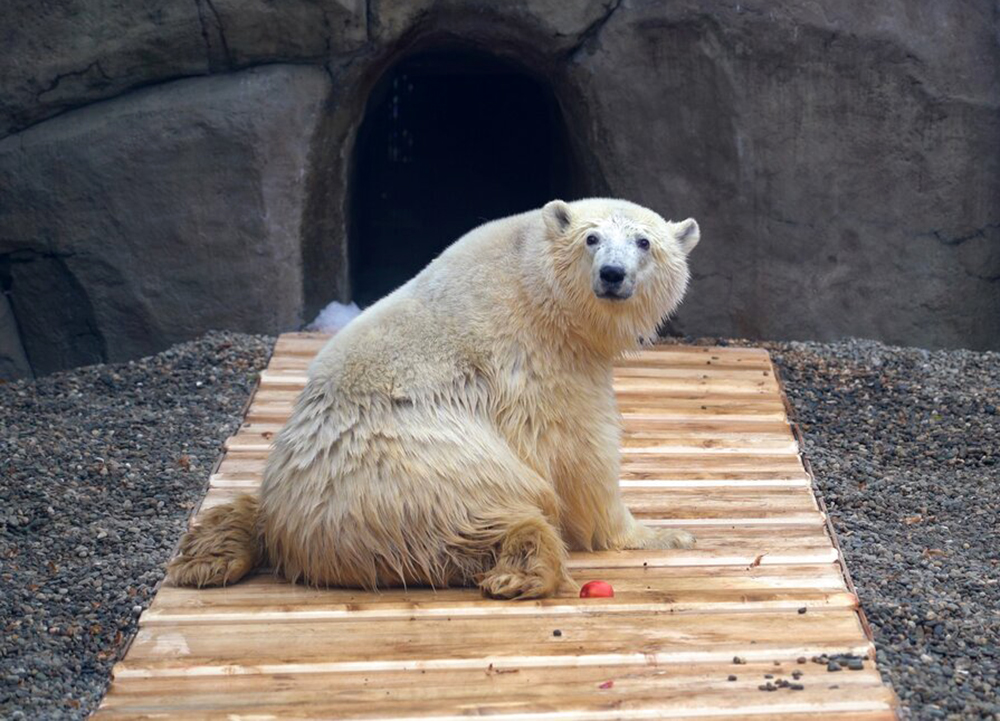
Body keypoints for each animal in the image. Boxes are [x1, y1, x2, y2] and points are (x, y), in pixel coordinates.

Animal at [170, 197, 704, 596]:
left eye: (643, 242)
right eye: (591, 238)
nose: (612, 274)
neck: (536, 285)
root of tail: (298, 533)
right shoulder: (540, 365)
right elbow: (581, 457)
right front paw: (664, 534)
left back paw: (207, 554)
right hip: (424, 475)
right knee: (481, 518)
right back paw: (523, 569)